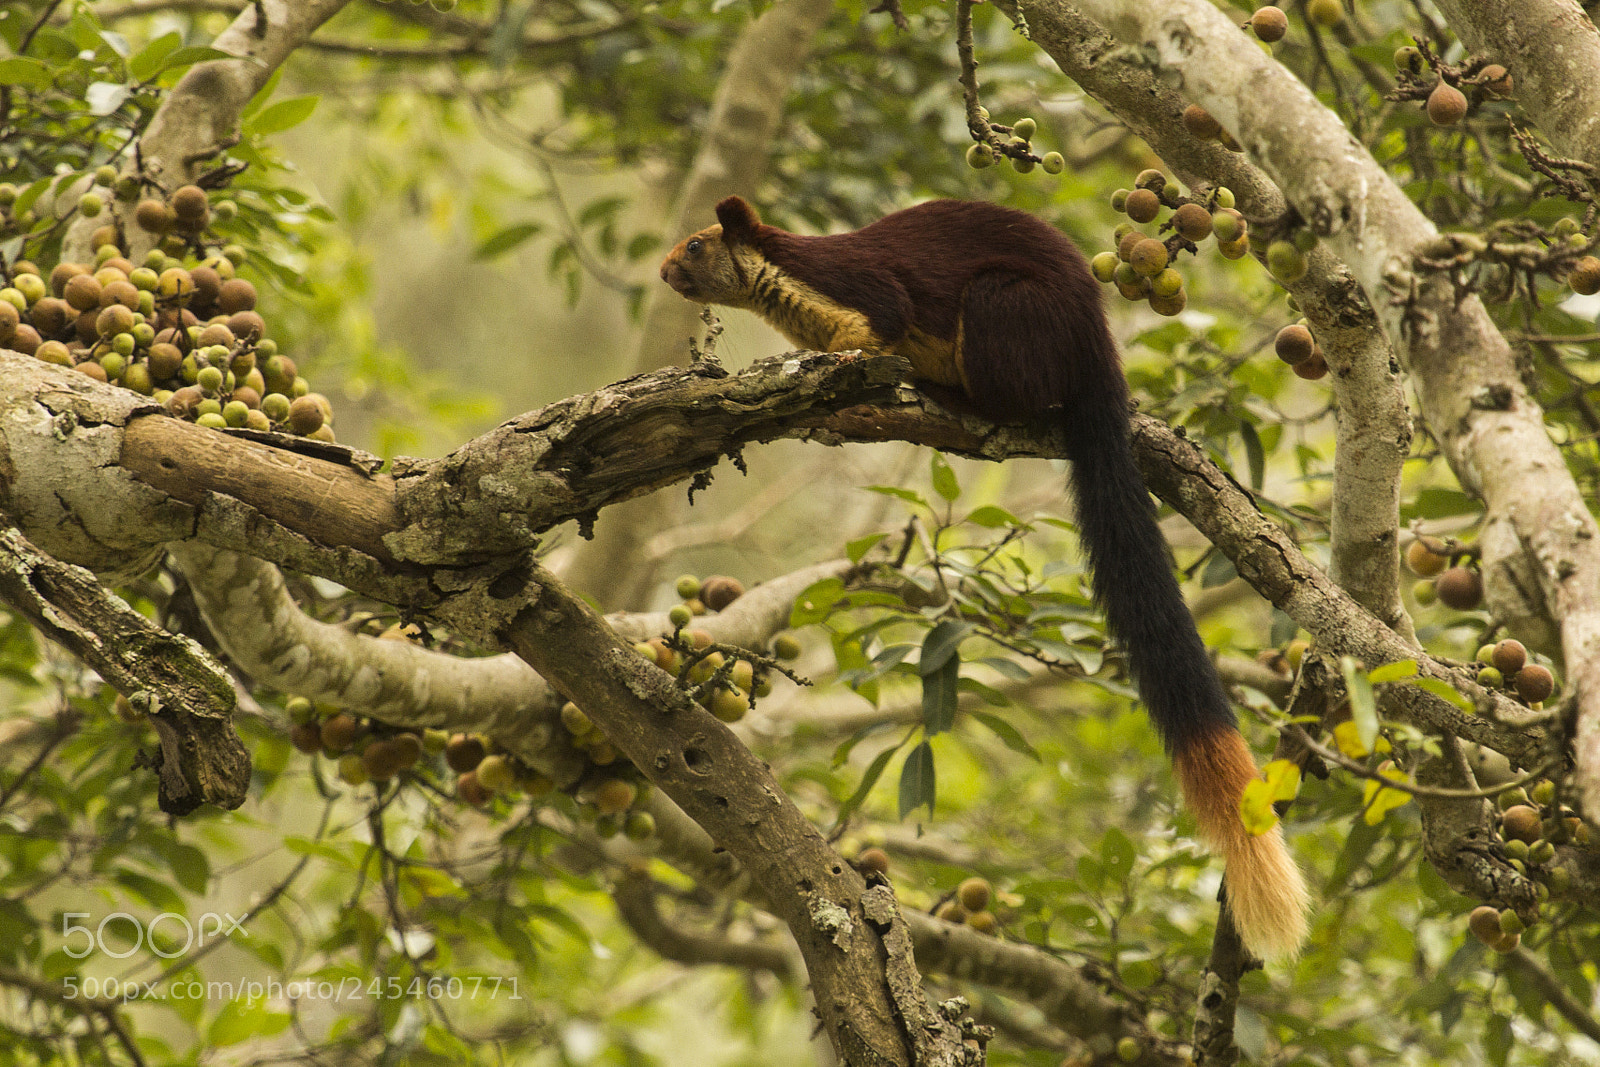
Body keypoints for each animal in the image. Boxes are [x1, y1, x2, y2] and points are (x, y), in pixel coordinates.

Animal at [659, 196, 1310, 961]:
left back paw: (953, 394)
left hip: (1002, 307)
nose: (666, 271)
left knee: (1019, 398)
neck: (790, 288)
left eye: (697, 245)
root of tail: (1098, 348)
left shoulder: (865, 294)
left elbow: (875, 332)